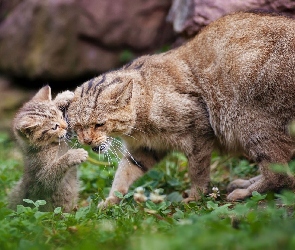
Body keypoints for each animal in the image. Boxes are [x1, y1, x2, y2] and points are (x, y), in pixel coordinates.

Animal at [68, 12, 295, 207]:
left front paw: (195, 196)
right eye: (77, 126)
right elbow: (124, 173)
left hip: (252, 125)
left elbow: (197, 171)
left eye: (99, 124)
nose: (86, 140)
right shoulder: (146, 149)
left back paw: (244, 192)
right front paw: (111, 200)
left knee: (280, 174)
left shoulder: (199, 133)